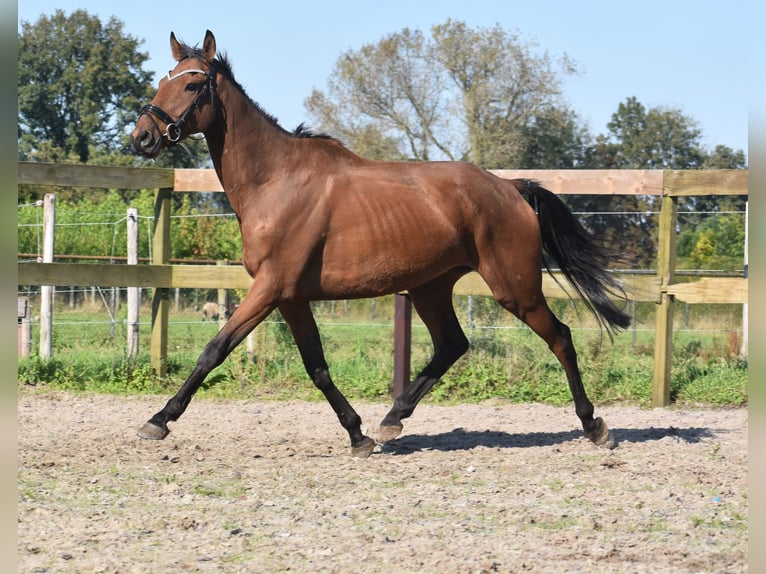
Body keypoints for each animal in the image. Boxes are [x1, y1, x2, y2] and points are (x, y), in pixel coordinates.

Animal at [130, 31, 632, 462]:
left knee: (560, 337)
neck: (275, 181)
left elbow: (214, 350)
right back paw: (392, 420)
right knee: (452, 345)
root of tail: (510, 188)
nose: (142, 137)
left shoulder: (270, 289)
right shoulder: (290, 297)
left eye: (193, 83)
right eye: (162, 80)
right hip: (431, 288)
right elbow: (317, 367)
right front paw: (358, 434)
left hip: (515, 289)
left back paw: (594, 426)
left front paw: (158, 420)